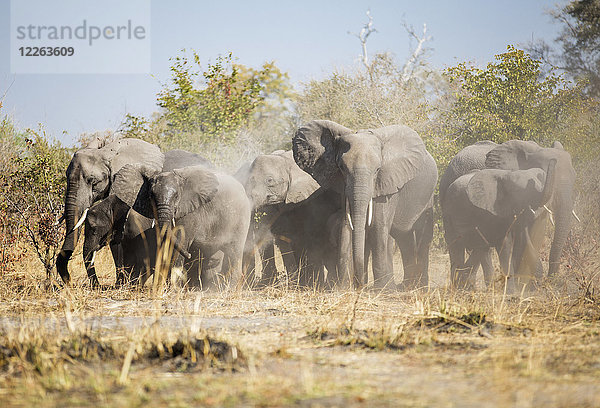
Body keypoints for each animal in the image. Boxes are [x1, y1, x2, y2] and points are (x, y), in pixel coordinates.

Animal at [294, 119, 438, 288]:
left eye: (377, 169)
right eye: (341, 167)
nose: (359, 284)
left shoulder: (389, 185)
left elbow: (378, 226)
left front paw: (382, 290)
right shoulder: (341, 185)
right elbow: (346, 224)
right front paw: (343, 288)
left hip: (428, 198)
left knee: (422, 237)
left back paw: (418, 287)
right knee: (404, 238)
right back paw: (406, 286)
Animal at [442, 161, 556, 292]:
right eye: (518, 191)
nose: (553, 160)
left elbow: (519, 240)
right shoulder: (488, 212)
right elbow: (504, 245)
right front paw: (511, 293)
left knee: (481, 249)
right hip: (449, 215)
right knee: (457, 246)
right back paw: (458, 287)